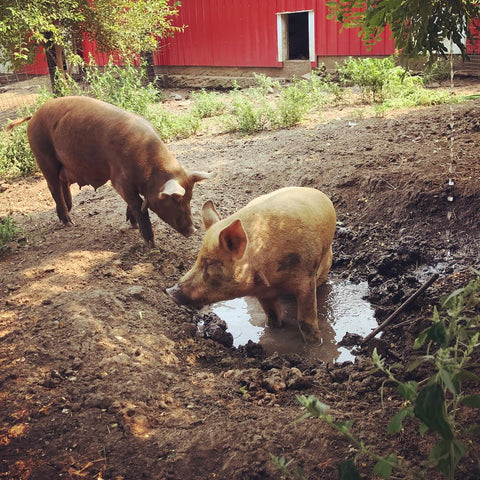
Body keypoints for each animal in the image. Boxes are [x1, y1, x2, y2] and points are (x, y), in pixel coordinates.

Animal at [11, 98, 215, 248]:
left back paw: (69, 212)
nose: (193, 230)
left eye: (189, 198)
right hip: (43, 155)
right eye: (175, 200)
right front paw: (151, 244)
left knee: (62, 185)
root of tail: (34, 115)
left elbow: (134, 205)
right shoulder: (119, 180)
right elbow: (138, 204)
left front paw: (132, 224)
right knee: (53, 187)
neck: (149, 171)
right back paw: (69, 222)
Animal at [168, 187, 338, 342]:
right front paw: (273, 330)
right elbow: (272, 317)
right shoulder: (263, 293)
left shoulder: (306, 280)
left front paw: (315, 344)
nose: (170, 291)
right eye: (198, 258)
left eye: (210, 263)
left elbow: (305, 322)